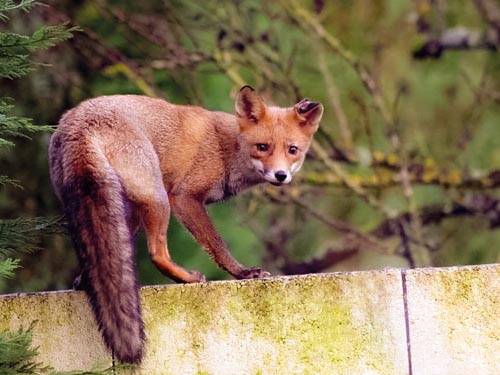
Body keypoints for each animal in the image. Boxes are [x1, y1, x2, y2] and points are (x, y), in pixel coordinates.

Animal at [47, 86, 324, 364]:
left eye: (292, 150)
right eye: (263, 147)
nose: (281, 175)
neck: (226, 149)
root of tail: (78, 124)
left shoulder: (133, 210)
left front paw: (85, 281)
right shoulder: (185, 198)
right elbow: (217, 245)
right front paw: (242, 273)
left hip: (115, 204)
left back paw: (87, 282)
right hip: (157, 198)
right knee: (157, 254)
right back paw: (189, 278)